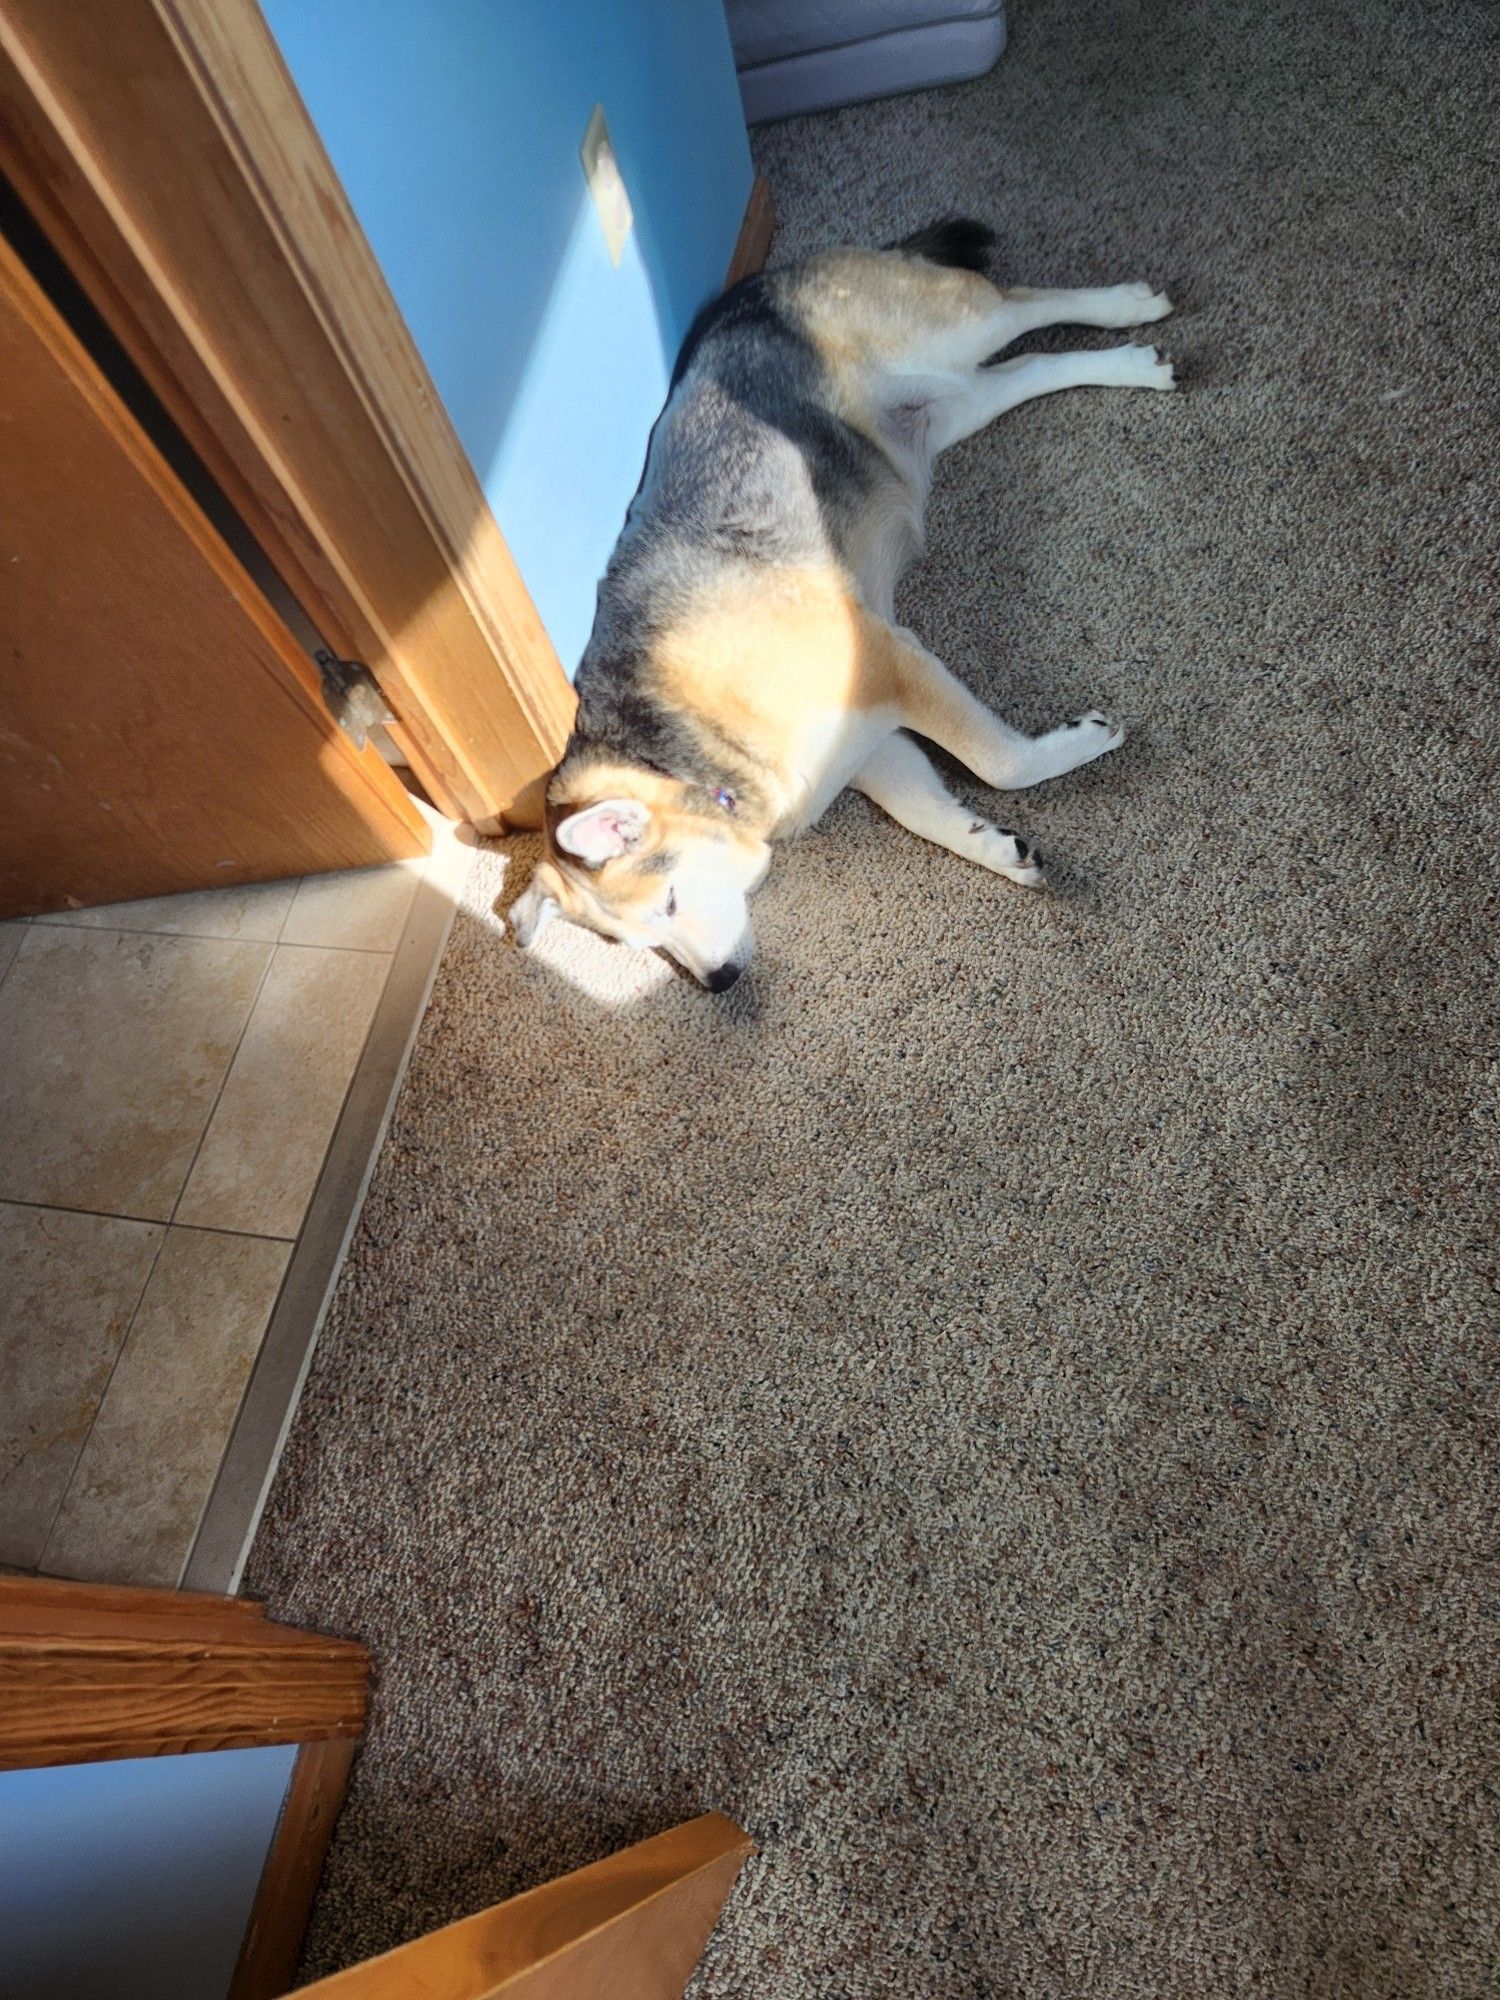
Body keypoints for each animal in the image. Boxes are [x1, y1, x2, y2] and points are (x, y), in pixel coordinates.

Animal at [512, 215, 1184, 988]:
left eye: (669, 902)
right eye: (632, 941)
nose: (718, 983)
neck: (690, 751)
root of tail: (756, 284)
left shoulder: (892, 661)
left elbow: (999, 763)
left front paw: (1081, 743)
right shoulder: (868, 747)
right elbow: (931, 812)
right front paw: (995, 846)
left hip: (954, 328)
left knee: (1026, 303)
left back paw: (1130, 306)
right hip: (953, 404)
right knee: (1031, 368)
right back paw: (1133, 364)